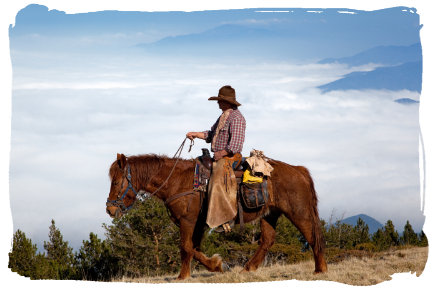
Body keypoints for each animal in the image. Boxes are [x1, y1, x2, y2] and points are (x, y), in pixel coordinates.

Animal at [107, 153, 328, 280]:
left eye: (117, 182)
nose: (110, 209)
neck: (177, 181)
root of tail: (298, 170)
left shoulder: (187, 222)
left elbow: (186, 248)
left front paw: (182, 277)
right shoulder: (197, 225)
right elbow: (195, 249)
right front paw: (217, 265)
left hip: (298, 212)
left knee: (312, 237)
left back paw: (320, 269)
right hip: (269, 214)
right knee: (267, 240)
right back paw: (248, 268)